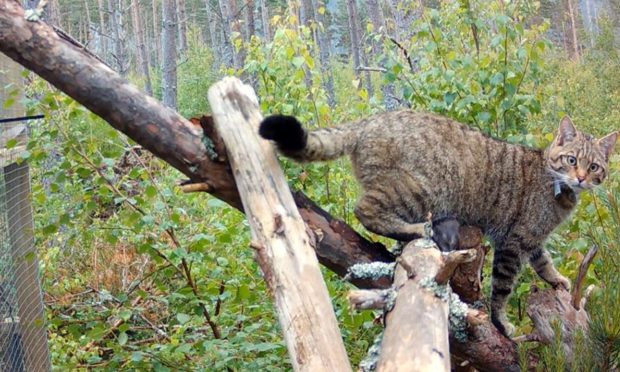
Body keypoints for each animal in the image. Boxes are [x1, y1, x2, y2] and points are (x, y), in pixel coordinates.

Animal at [260, 112, 616, 336]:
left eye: (594, 166)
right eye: (572, 160)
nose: (581, 178)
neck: (557, 188)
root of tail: (370, 120)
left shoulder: (531, 241)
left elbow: (544, 263)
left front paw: (558, 281)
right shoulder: (514, 242)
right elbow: (502, 290)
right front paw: (502, 324)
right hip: (420, 190)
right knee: (364, 209)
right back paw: (415, 230)